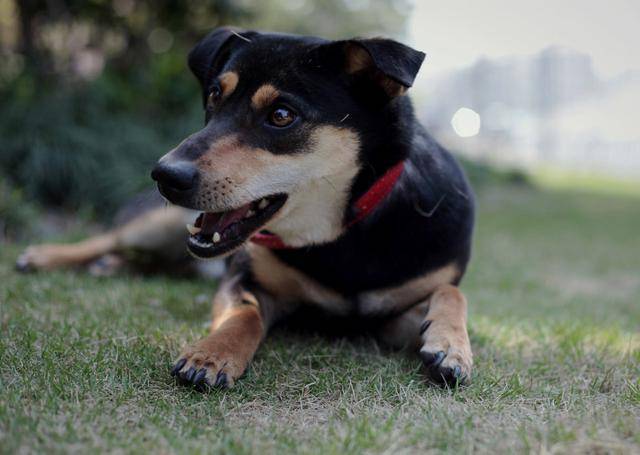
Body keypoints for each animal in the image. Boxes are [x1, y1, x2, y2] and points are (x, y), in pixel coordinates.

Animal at [16, 27, 476, 388]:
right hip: (156, 226)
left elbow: (451, 291)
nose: (164, 175)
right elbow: (245, 314)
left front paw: (450, 346)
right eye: (214, 96)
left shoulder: (391, 316)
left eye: (282, 115)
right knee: (109, 239)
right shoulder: (244, 279)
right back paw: (45, 256)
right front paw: (211, 355)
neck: (342, 232)